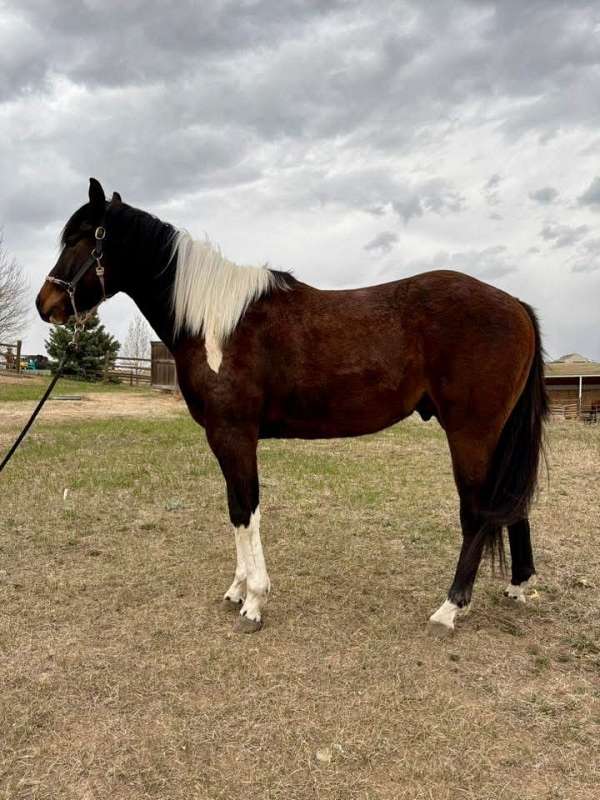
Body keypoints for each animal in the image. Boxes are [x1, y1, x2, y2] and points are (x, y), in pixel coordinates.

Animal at [36, 178, 548, 635]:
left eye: (81, 237)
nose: (47, 304)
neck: (215, 324)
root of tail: (515, 304)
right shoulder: (227, 439)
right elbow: (236, 510)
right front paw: (238, 590)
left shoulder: (233, 435)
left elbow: (247, 508)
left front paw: (254, 602)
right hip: (495, 435)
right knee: (509, 504)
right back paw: (518, 586)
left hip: (471, 434)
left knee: (478, 512)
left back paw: (449, 609)